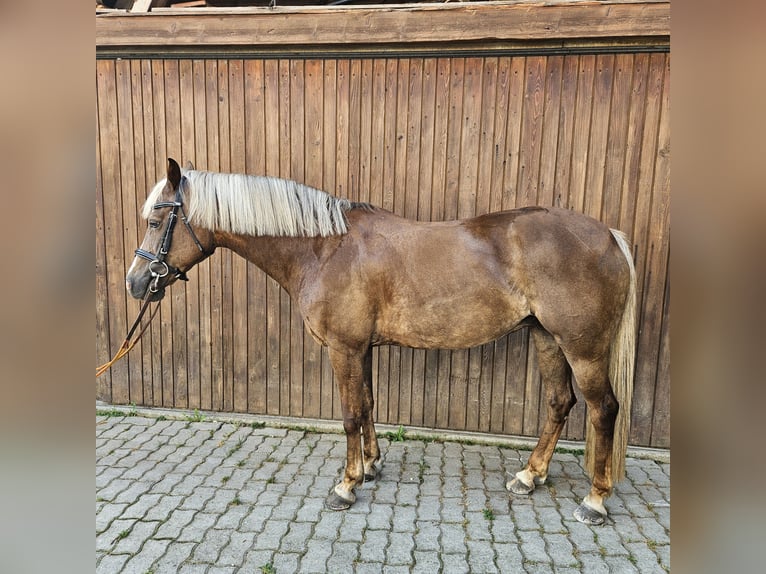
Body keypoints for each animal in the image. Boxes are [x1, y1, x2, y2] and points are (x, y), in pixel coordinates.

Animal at [129, 158, 640, 528]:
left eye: (156, 219)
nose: (135, 284)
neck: (325, 248)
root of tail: (609, 236)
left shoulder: (344, 348)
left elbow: (350, 414)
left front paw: (346, 486)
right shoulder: (363, 348)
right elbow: (369, 405)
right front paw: (372, 466)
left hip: (582, 347)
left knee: (603, 409)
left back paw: (595, 500)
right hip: (547, 338)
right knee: (559, 402)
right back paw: (529, 476)